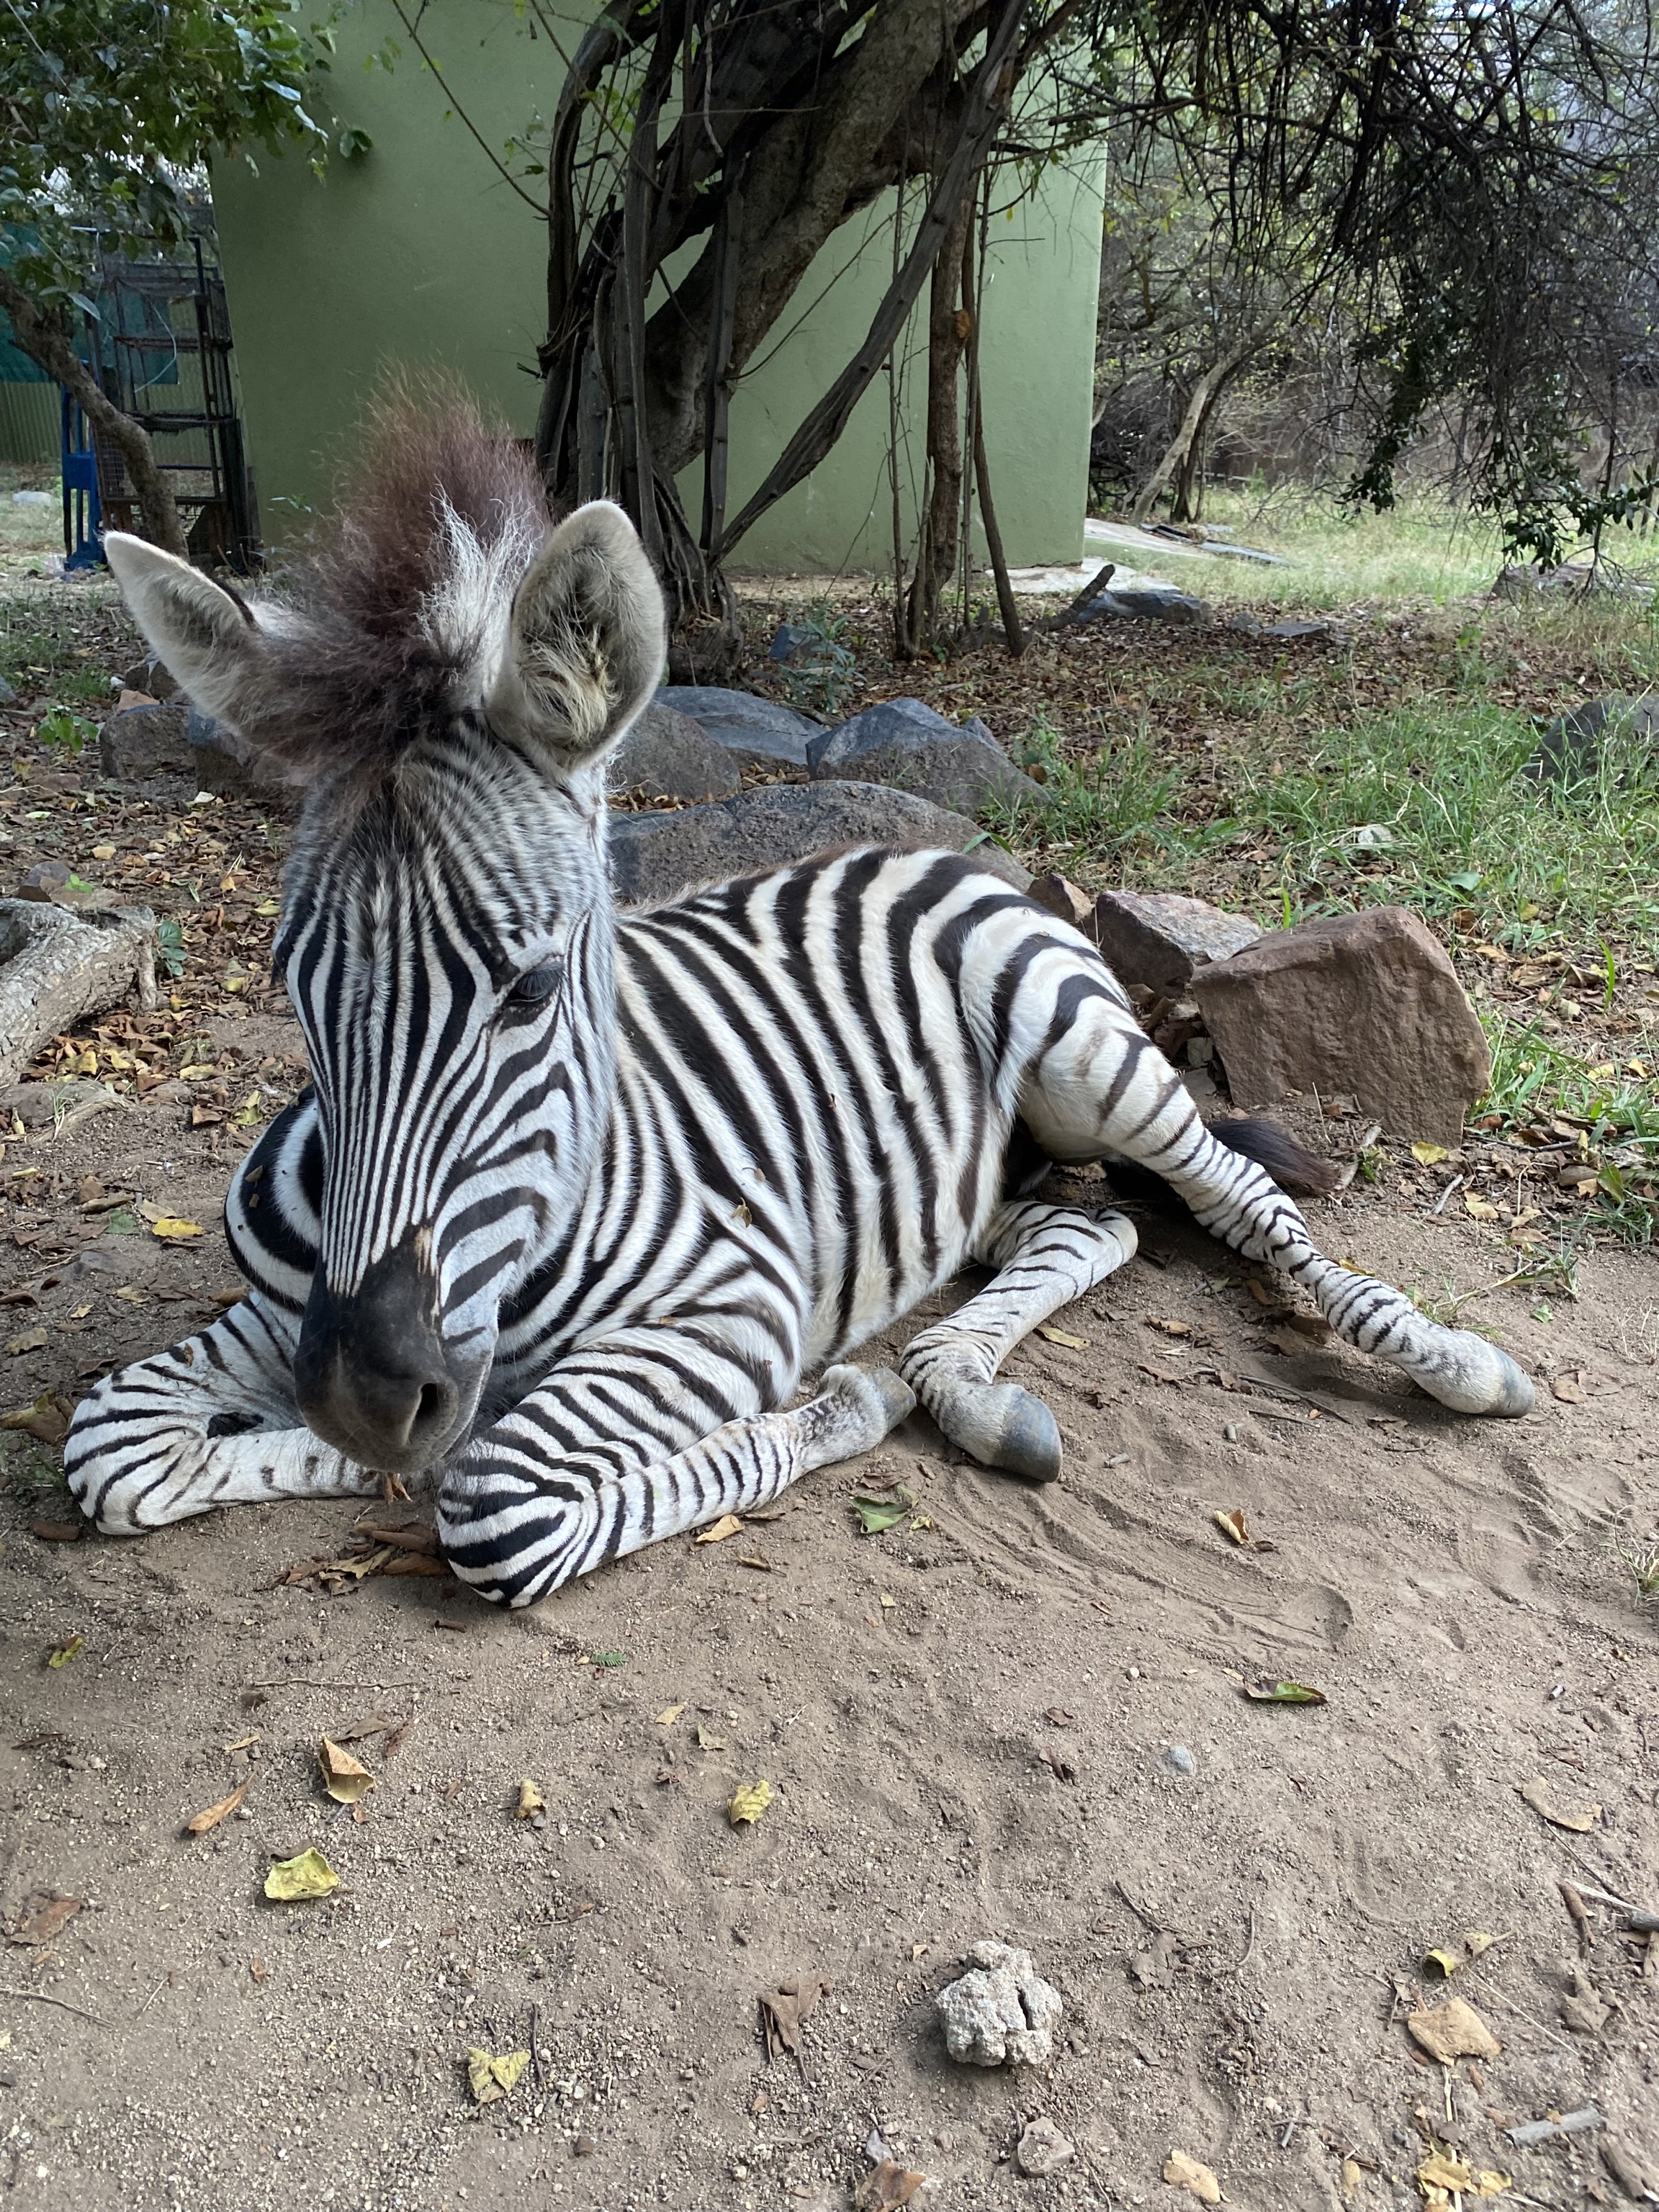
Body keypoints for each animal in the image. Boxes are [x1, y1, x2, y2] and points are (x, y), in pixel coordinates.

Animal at [64, 410, 1533, 1609]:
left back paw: (1444, 1358)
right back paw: (970, 1385)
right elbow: (111, 1445)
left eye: (528, 987)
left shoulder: (730, 1312)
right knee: (1088, 1229)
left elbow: (492, 1500)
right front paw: (320, 1443)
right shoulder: (297, 1318)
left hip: (1088, 1056)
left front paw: (838, 1405)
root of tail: (940, 855)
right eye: (291, 987)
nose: (367, 1396)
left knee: (1243, 1201)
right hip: (950, 1178)